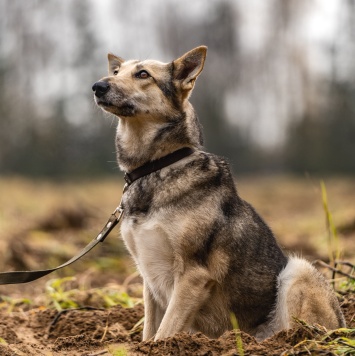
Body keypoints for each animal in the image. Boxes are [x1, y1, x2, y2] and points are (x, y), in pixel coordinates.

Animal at [93, 46, 346, 340]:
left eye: (143, 74)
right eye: (116, 72)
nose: (97, 86)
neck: (156, 167)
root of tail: (343, 326)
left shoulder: (193, 274)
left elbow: (164, 332)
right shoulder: (149, 277)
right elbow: (149, 333)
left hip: (298, 271)